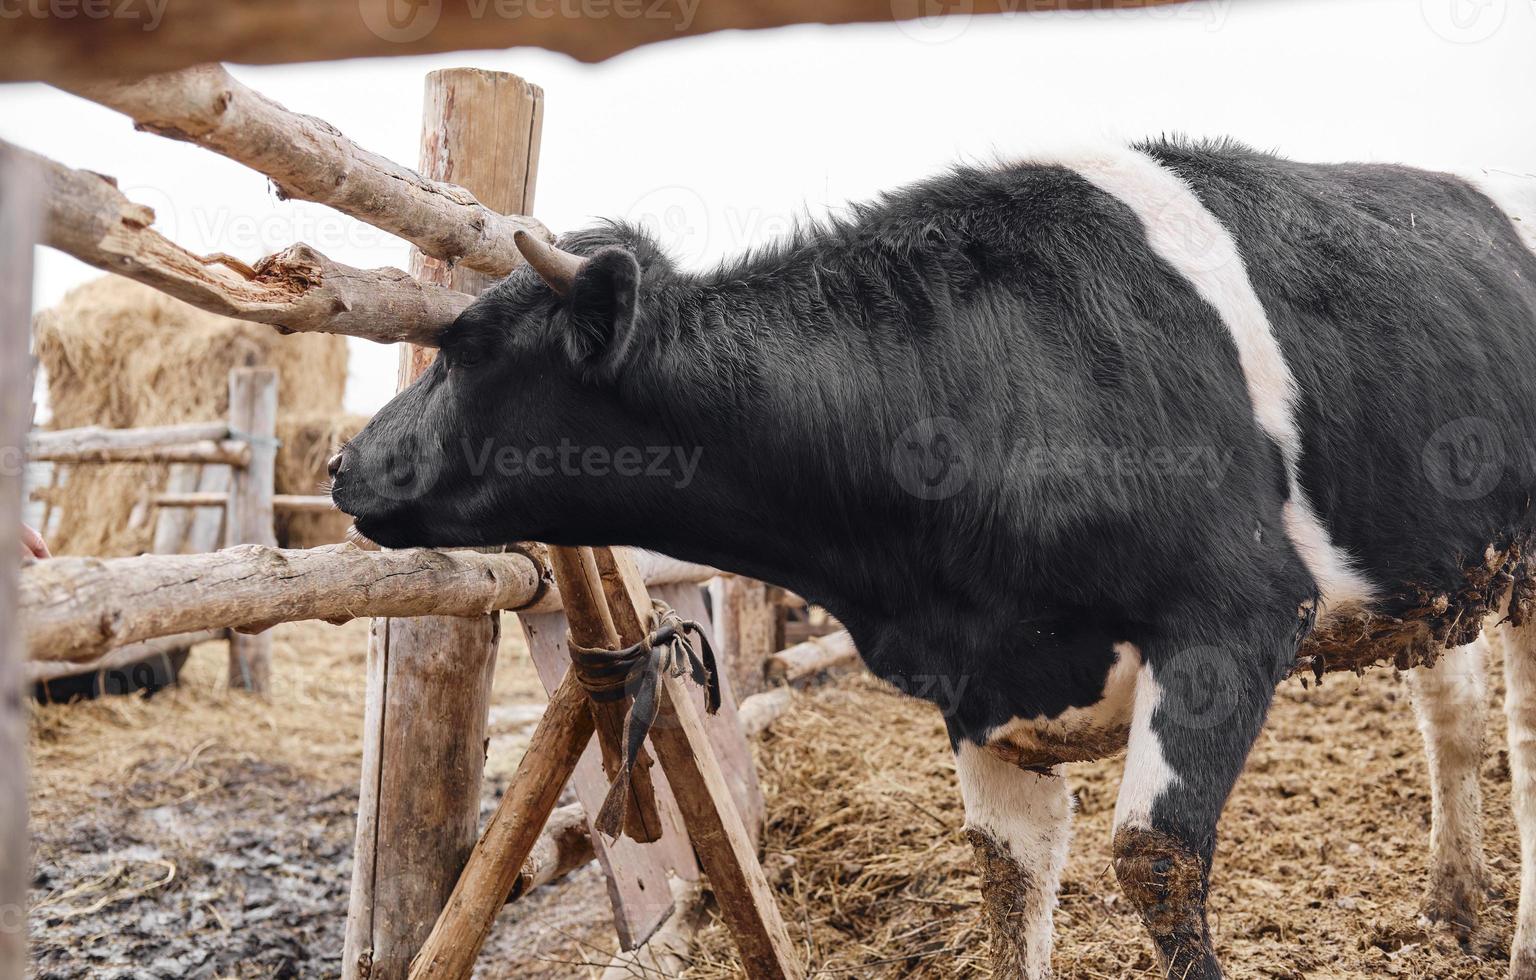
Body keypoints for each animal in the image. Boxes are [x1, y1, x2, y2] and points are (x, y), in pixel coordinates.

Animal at [333, 139, 1536, 980]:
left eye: (468, 349)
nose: (345, 463)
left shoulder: (1234, 617)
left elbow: (1152, 856)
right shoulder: (984, 688)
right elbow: (1008, 881)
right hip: (1446, 577)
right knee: (1460, 722)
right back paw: (1455, 907)